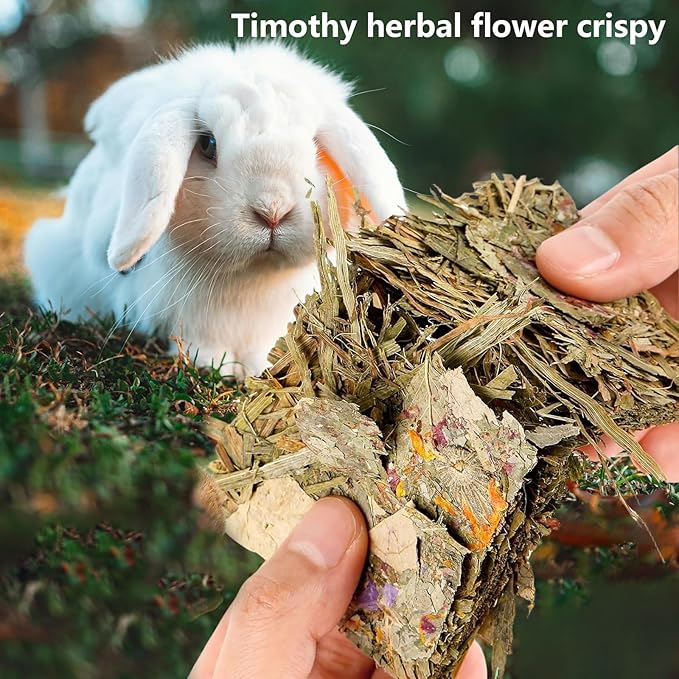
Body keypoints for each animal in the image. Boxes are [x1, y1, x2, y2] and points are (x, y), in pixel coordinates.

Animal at [24, 42, 406, 379]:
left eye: (315, 146)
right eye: (208, 144)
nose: (272, 209)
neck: (249, 280)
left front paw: (259, 369)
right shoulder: (190, 317)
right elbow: (200, 343)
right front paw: (213, 366)